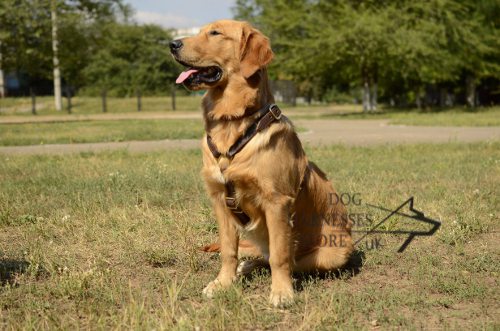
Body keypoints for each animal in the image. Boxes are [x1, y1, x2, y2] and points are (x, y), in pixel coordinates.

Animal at [170, 19, 354, 308]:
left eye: (215, 33)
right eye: (199, 31)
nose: (172, 44)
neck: (233, 124)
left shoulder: (276, 202)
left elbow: (280, 257)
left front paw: (281, 292)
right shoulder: (220, 200)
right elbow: (228, 251)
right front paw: (223, 283)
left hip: (334, 253)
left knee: (286, 261)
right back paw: (246, 266)